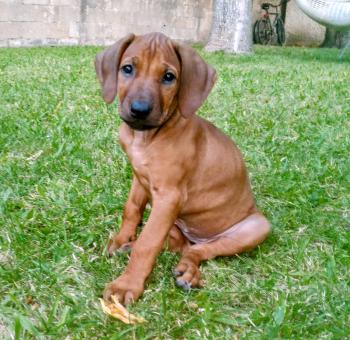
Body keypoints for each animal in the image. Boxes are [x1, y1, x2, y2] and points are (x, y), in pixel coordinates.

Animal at [95, 32, 270, 306]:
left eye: (169, 77)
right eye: (127, 69)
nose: (139, 110)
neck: (146, 138)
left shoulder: (169, 196)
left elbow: (149, 242)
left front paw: (127, 285)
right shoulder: (139, 178)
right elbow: (131, 210)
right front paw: (123, 239)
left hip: (257, 227)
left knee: (199, 250)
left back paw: (189, 270)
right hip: (175, 222)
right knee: (179, 245)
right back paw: (133, 247)